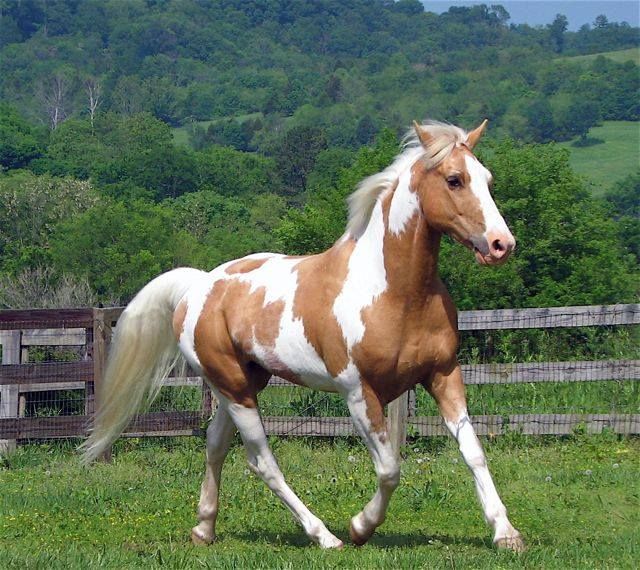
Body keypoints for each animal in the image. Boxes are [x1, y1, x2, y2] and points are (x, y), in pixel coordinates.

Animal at [82, 118, 524, 552]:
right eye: (454, 180)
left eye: (487, 178)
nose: (501, 245)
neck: (393, 292)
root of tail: (199, 286)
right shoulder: (359, 393)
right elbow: (389, 468)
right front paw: (360, 527)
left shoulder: (444, 375)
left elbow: (474, 453)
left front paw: (506, 534)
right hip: (235, 389)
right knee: (262, 462)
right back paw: (324, 536)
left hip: (242, 384)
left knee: (215, 444)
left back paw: (204, 528)